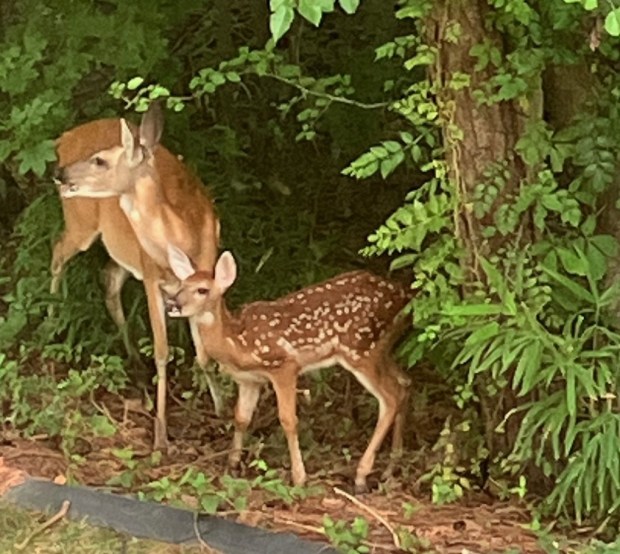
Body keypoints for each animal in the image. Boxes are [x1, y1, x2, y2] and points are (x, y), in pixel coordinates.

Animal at [53, 106, 223, 448]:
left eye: (100, 160)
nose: (61, 173)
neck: (185, 236)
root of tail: (65, 137)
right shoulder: (151, 279)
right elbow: (162, 351)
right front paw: (161, 436)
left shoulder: (205, 276)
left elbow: (204, 354)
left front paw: (222, 412)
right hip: (82, 225)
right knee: (57, 253)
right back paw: (52, 322)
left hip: (119, 249)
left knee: (107, 279)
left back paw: (134, 363)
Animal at [161, 244, 412, 490]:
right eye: (181, 286)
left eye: (202, 290)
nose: (172, 304)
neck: (239, 343)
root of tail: (404, 296)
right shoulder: (249, 380)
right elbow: (241, 417)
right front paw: (232, 463)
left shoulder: (284, 366)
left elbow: (288, 420)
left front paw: (299, 478)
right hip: (381, 349)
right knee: (404, 383)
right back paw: (390, 468)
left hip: (360, 350)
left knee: (390, 397)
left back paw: (361, 476)